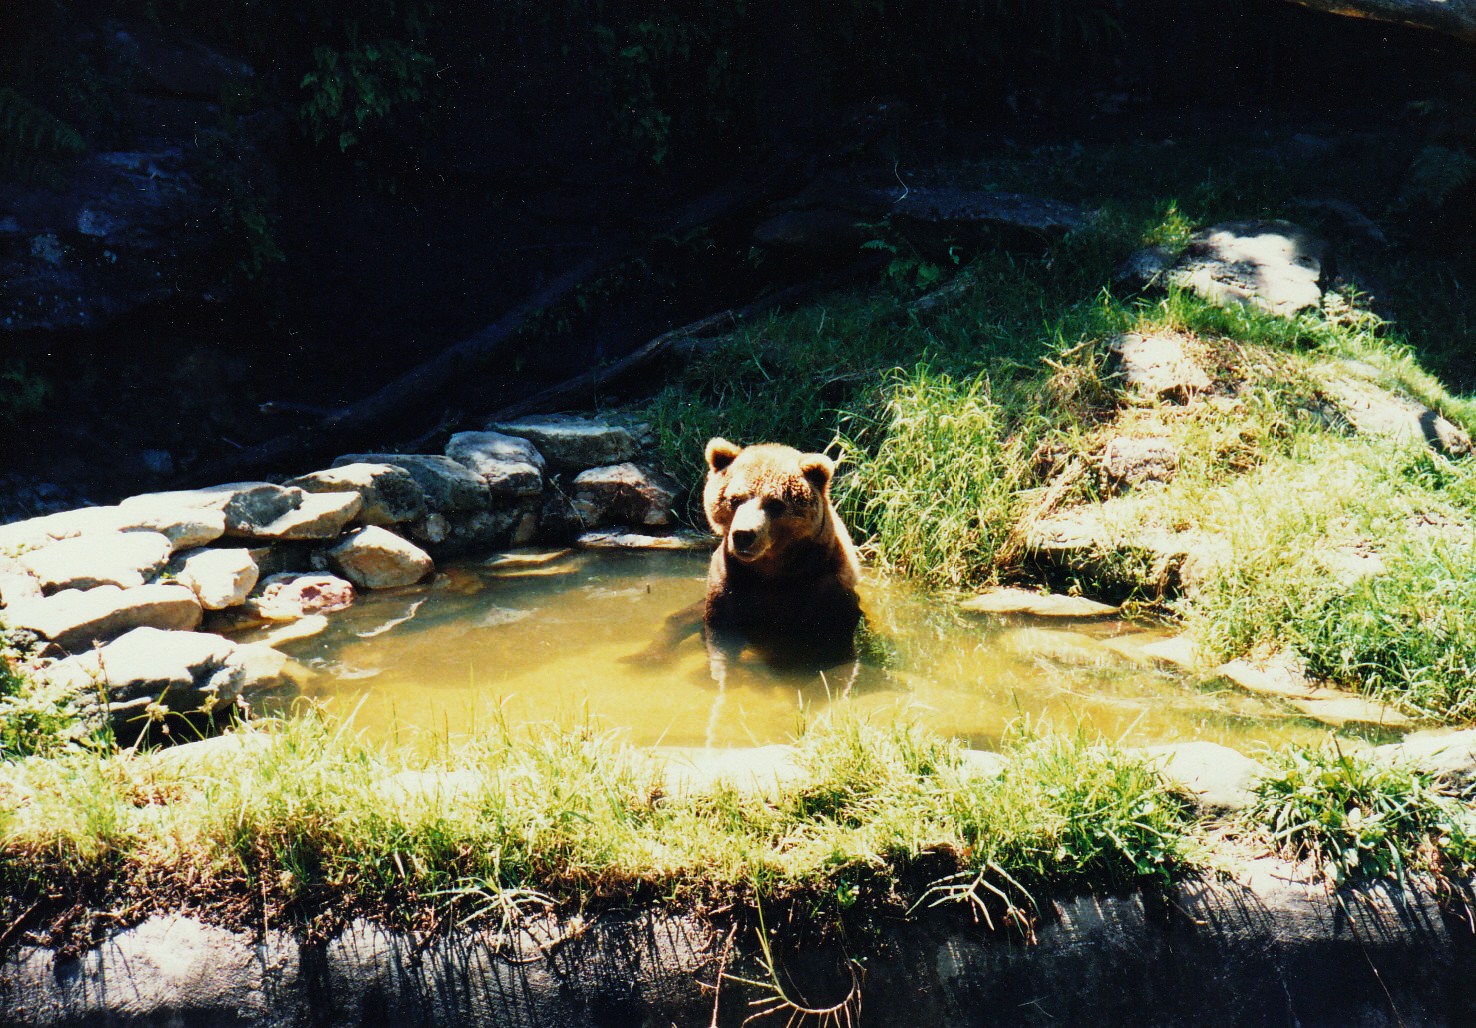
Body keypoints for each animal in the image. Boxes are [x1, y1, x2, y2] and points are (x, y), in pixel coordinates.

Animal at [701, 437, 863, 668]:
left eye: (775, 504)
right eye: (734, 499)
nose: (743, 535)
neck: (773, 569)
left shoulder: (827, 586)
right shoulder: (730, 582)